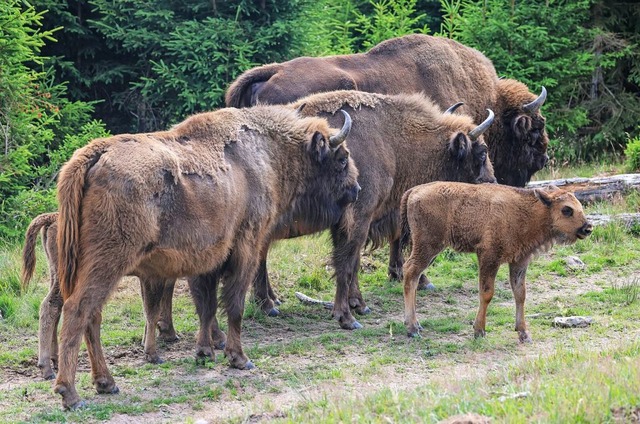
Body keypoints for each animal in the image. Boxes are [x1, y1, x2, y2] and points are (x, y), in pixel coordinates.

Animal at [22, 212, 182, 380]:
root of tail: (52, 217)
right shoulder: (155, 277)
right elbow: (153, 310)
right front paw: (154, 353)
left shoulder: (146, 278)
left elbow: (149, 308)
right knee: (50, 306)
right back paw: (47, 369)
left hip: (56, 275)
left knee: (56, 308)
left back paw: (56, 361)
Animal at [52, 104, 358, 410]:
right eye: (342, 159)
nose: (356, 189)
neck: (265, 153)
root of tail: (94, 153)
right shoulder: (246, 248)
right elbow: (234, 304)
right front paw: (239, 358)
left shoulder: (208, 261)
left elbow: (207, 306)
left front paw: (204, 353)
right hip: (108, 263)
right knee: (78, 311)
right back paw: (71, 394)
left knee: (92, 316)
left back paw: (106, 383)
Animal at [252, 92, 498, 332]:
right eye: (482, 152)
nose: (492, 182)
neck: (392, 143)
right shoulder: (359, 219)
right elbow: (348, 263)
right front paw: (353, 311)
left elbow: (352, 262)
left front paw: (356, 304)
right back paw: (268, 305)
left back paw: (271, 301)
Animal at [402, 182, 592, 342]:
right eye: (566, 210)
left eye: (579, 206)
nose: (588, 228)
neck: (530, 211)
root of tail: (413, 191)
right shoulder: (489, 257)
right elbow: (487, 293)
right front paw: (479, 331)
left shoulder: (519, 261)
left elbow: (520, 294)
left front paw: (524, 333)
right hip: (428, 247)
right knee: (410, 272)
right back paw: (412, 329)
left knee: (414, 275)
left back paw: (416, 324)